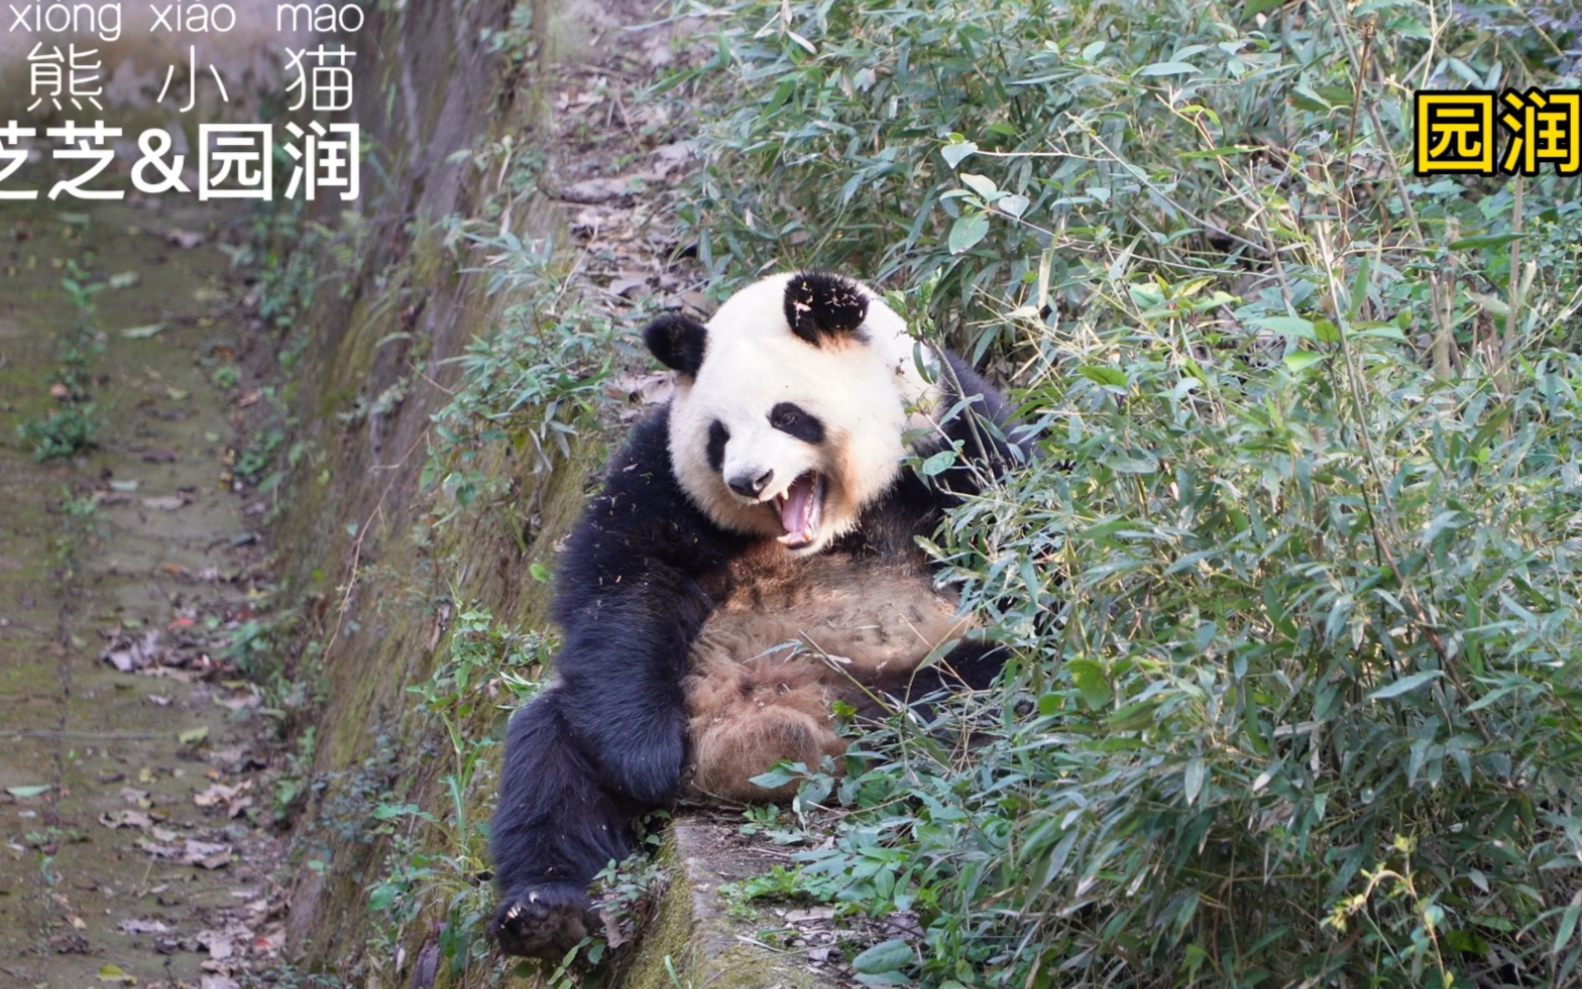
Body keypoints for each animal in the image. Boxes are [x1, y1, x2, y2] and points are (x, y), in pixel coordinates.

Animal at [490, 267, 1025, 955]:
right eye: (719, 436)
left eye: (788, 415)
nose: (750, 480)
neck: (830, 529)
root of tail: (747, 750)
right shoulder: (664, 474)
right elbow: (625, 582)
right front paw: (646, 759)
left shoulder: (955, 437)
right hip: (667, 701)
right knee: (551, 760)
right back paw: (545, 912)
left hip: (877, 688)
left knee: (975, 686)